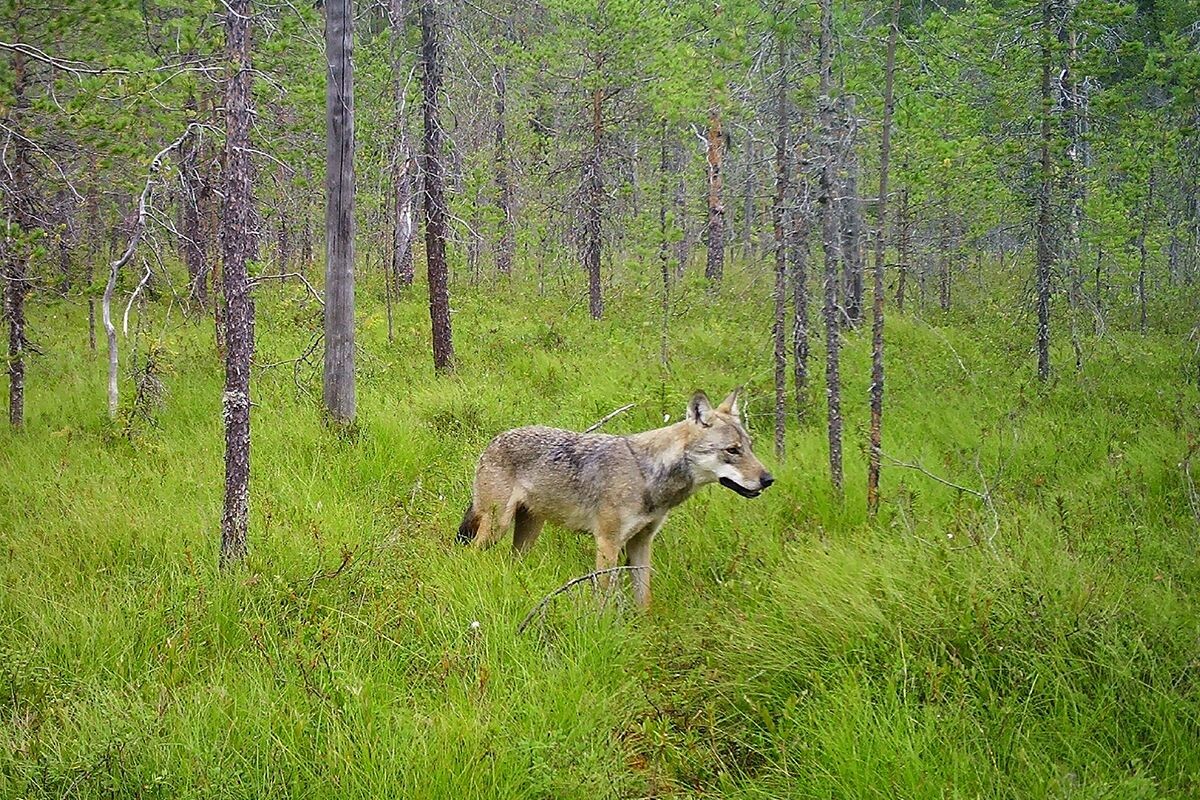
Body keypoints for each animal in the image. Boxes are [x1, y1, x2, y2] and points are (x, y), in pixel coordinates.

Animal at [456, 388, 774, 608]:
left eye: (750, 446)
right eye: (732, 450)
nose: (769, 479)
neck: (647, 475)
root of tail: (494, 440)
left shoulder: (641, 543)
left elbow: (644, 599)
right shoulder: (607, 542)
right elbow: (605, 596)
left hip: (528, 533)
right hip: (497, 527)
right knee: (470, 555)